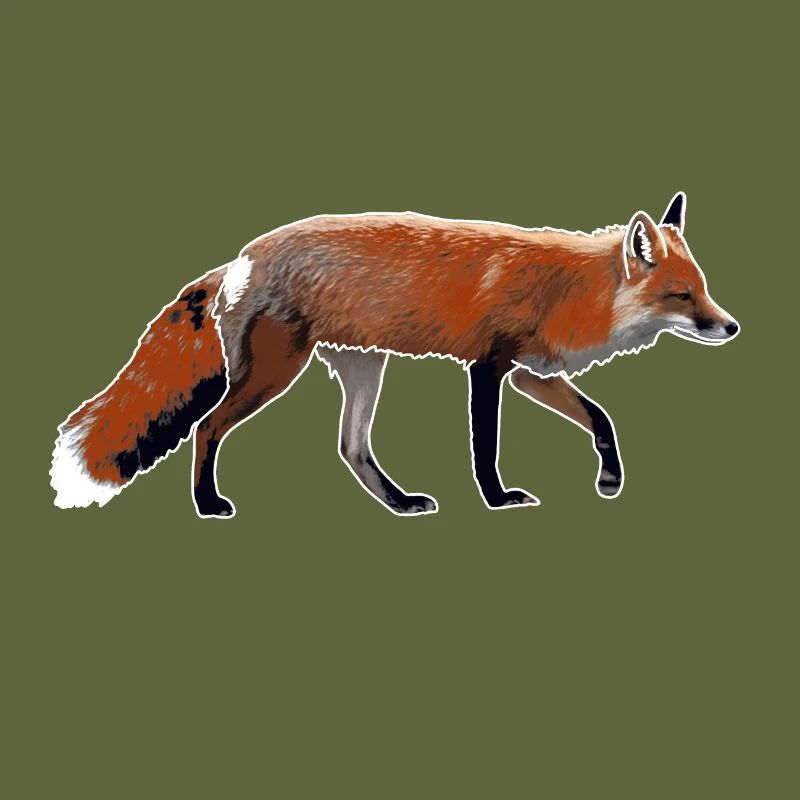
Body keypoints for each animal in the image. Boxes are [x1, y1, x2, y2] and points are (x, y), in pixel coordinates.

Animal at [50, 192, 739, 518]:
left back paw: (401, 504)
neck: (572, 290)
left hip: (364, 367)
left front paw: (610, 478)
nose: (731, 327)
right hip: (276, 372)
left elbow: (601, 420)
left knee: (351, 448)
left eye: (704, 288)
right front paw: (497, 500)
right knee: (206, 428)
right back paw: (208, 506)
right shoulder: (489, 369)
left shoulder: (531, 375)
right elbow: (485, 449)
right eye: (682, 295)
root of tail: (244, 257)